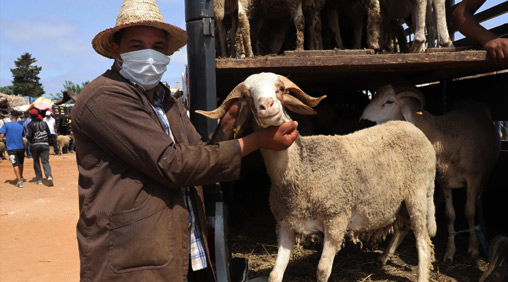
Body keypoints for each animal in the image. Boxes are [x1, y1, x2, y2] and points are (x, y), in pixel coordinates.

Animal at [197, 72, 436, 282]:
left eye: (281, 89)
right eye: (247, 96)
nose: (267, 106)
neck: (302, 168)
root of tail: (411, 127)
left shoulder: (336, 221)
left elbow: (322, 271)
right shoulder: (285, 224)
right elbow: (275, 274)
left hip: (418, 193)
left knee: (423, 243)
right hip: (402, 201)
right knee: (403, 228)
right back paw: (384, 257)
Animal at [362, 84, 500, 262]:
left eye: (389, 101)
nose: (363, 121)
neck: (446, 139)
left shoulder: (473, 179)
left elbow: (469, 212)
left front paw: (473, 249)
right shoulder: (445, 182)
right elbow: (449, 215)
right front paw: (450, 252)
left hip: (484, 177)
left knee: (478, 202)